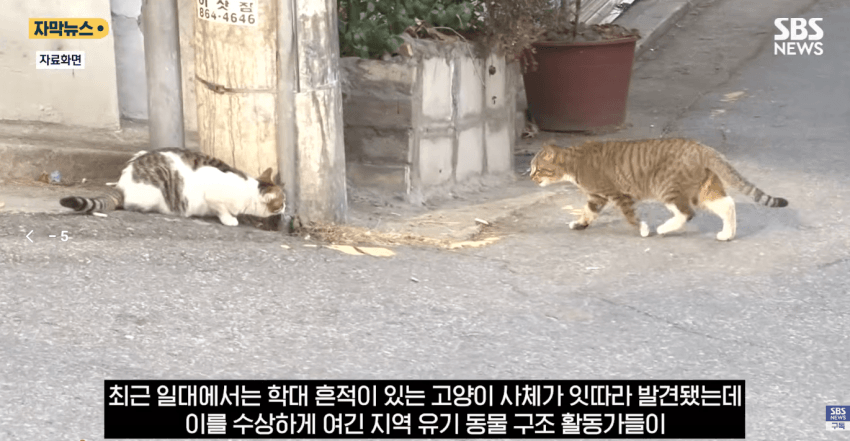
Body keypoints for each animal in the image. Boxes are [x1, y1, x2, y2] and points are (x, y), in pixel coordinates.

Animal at [60, 148, 285, 227]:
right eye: (282, 202)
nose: (286, 207)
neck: (249, 191)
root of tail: (123, 182)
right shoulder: (213, 195)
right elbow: (221, 210)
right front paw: (230, 219)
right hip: (154, 193)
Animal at [529, 139, 788, 241]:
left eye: (538, 169)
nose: (530, 177)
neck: (575, 161)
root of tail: (702, 147)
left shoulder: (617, 194)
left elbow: (632, 217)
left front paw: (643, 229)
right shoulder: (596, 197)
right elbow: (588, 213)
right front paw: (579, 224)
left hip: (668, 188)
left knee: (687, 213)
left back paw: (664, 229)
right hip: (703, 189)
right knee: (727, 204)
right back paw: (727, 234)